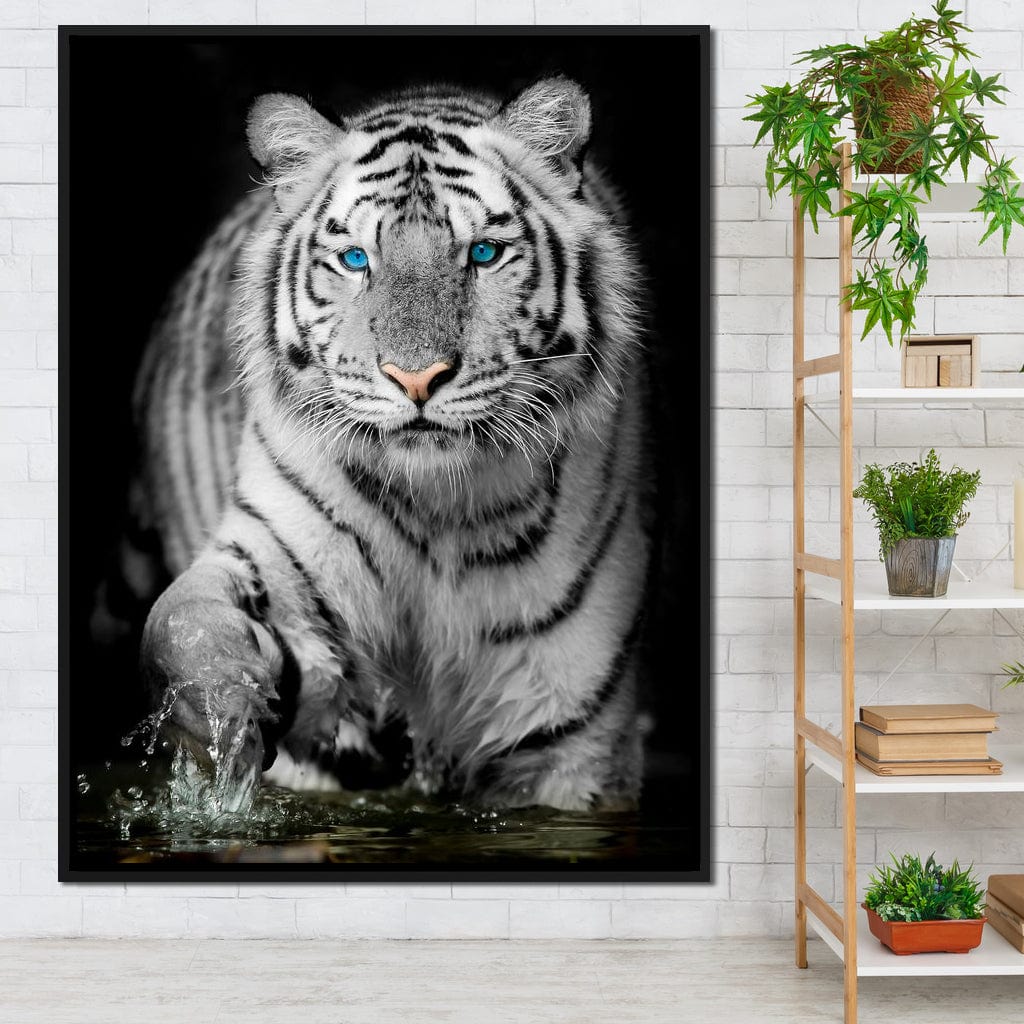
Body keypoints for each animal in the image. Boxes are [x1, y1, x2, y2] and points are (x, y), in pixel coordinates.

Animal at [130, 76, 653, 812]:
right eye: (356, 260)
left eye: (483, 254)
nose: (417, 377)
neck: (439, 510)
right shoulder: (274, 549)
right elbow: (184, 622)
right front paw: (223, 709)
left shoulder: (572, 739)